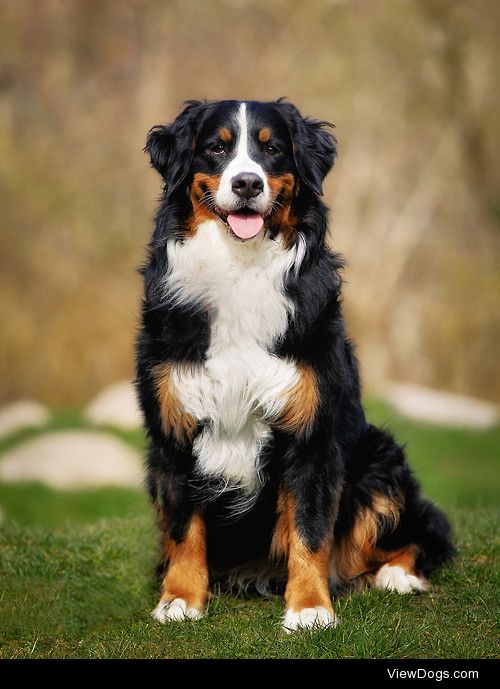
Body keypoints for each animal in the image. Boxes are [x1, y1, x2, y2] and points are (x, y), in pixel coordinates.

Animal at [135, 99, 456, 632]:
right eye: (217, 147)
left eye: (273, 149)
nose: (247, 183)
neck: (240, 268)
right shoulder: (172, 430)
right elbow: (183, 527)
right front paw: (179, 598)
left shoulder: (313, 432)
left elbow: (309, 528)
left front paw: (309, 608)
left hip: (379, 459)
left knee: (418, 536)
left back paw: (396, 575)